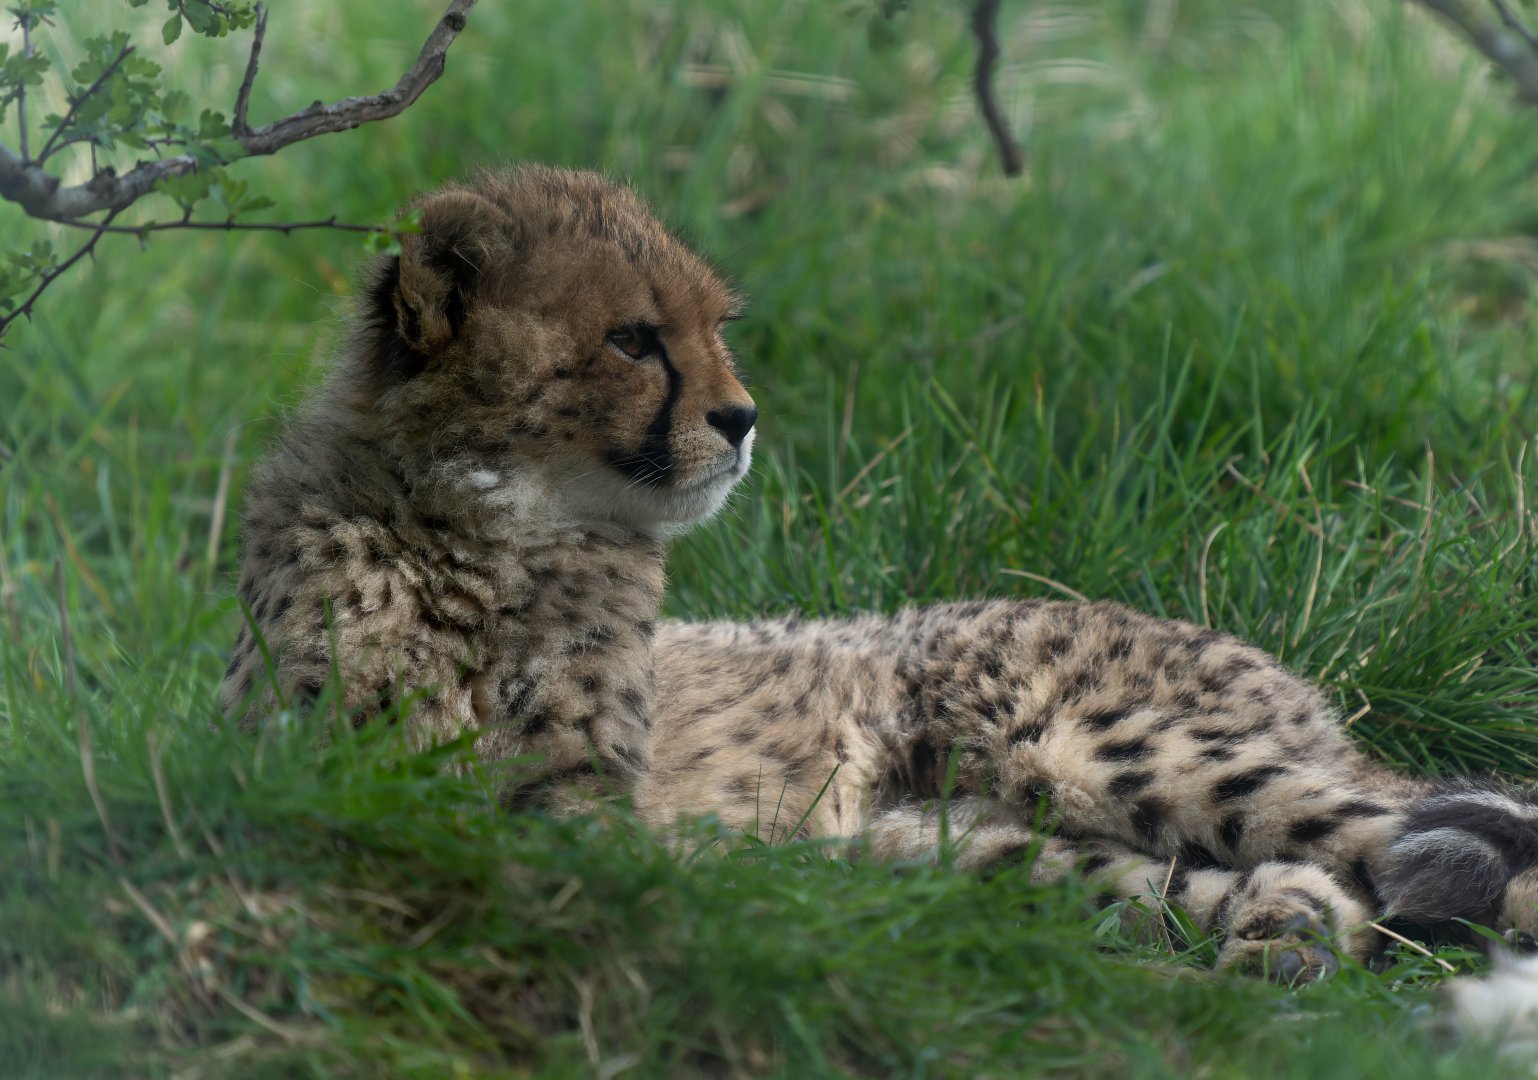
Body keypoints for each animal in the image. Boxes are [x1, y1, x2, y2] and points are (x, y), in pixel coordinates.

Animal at [223, 164, 1538, 986]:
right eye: (632, 338)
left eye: (714, 325)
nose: (742, 416)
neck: (492, 531)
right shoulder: (322, 762)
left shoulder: (584, 812)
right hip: (934, 849)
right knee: (1271, 880)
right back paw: (1278, 938)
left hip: (1083, 745)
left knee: (1392, 835)